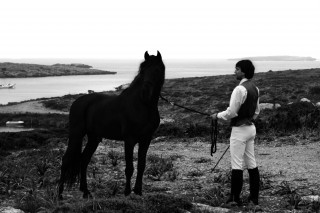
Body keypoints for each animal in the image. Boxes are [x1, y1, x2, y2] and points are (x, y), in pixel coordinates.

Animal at [57, 51, 166, 198]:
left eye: (157, 70)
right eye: (142, 70)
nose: (145, 92)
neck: (142, 105)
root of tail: (78, 101)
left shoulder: (146, 140)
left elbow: (141, 165)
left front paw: (138, 191)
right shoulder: (129, 140)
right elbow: (129, 168)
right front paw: (127, 192)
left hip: (93, 138)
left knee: (84, 160)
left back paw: (86, 192)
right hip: (76, 135)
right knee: (66, 160)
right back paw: (59, 194)